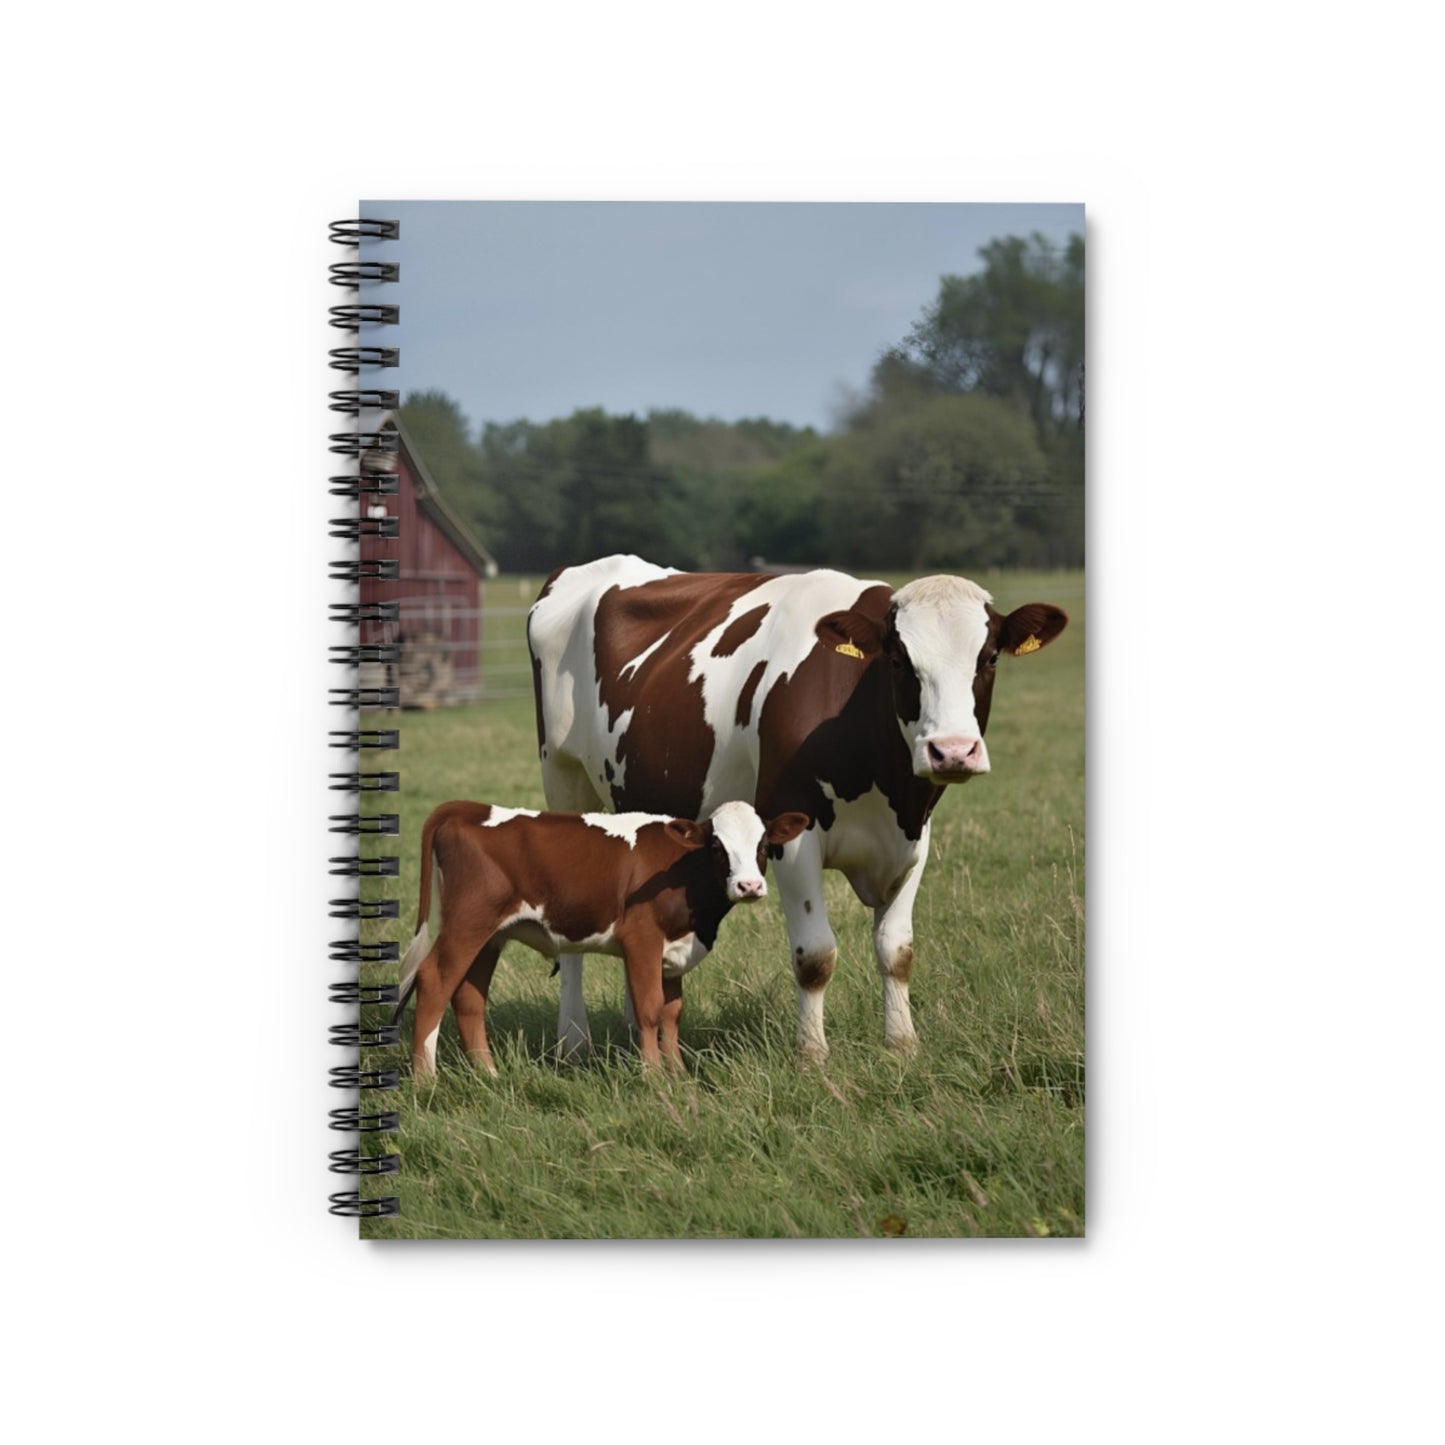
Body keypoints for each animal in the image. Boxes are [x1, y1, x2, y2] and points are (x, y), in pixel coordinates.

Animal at [392, 798, 809, 1075]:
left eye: (763, 845)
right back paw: (426, 1081)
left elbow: (672, 1012)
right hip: (468, 922)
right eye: (717, 846)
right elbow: (649, 1010)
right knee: (434, 981)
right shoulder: (641, 940)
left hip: (490, 935)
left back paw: (488, 1076)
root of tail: (468, 808)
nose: (749, 886)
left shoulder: (675, 951)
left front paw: (678, 1075)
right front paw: (655, 1079)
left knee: (468, 996)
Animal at [527, 554, 1068, 1062]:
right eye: (898, 661)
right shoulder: (792, 836)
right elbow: (816, 955)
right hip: (564, 777)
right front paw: (812, 1054)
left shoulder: (915, 839)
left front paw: (902, 1046)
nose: (952, 751)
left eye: (989, 658)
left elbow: (897, 949)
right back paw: (573, 1041)